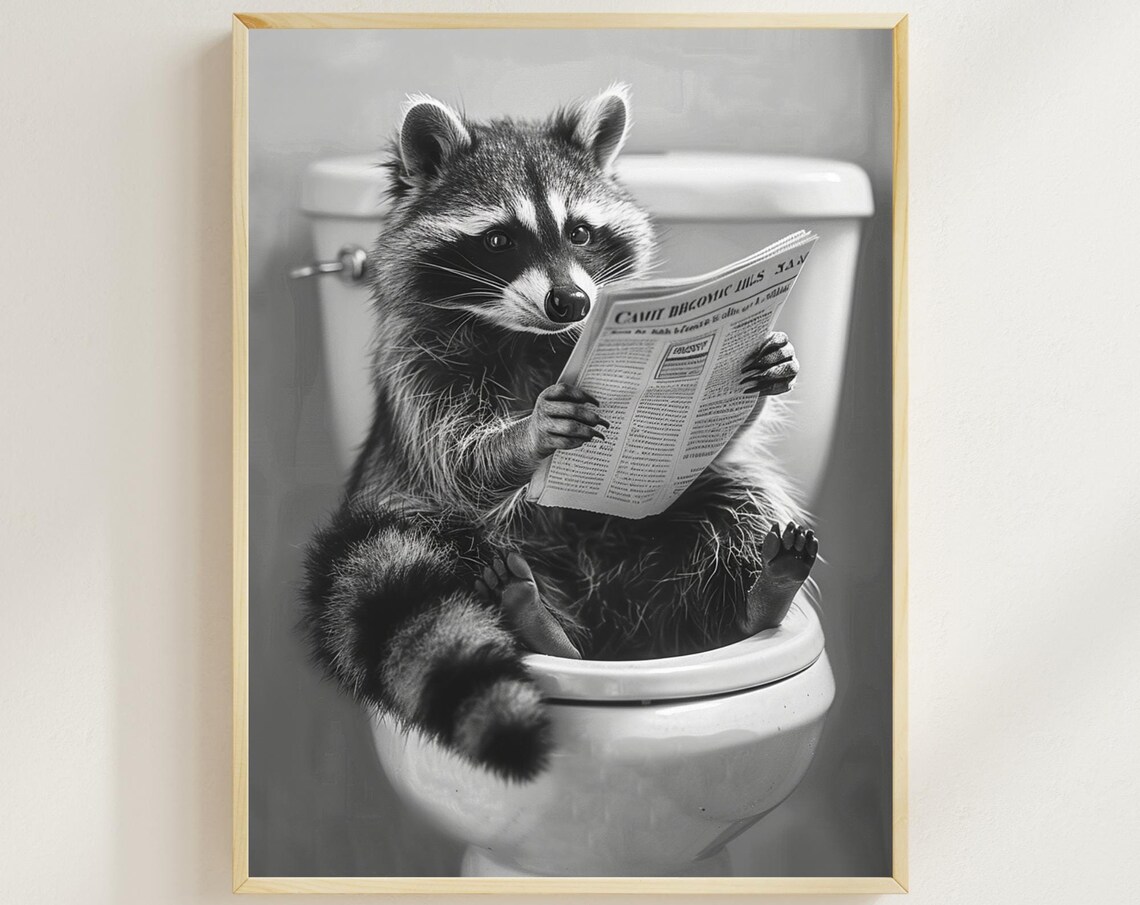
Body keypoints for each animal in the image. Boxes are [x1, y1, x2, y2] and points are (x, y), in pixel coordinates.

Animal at [300, 85, 819, 781]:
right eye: (499, 239)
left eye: (579, 231)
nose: (571, 302)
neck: (523, 335)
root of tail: (608, 629)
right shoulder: (416, 370)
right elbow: (455, 463)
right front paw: (525, 437)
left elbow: (724, 447)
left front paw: (765, 377)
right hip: (428, 529)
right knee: (437, 539)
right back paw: (536, 619)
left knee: (730, 494)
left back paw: (759, 597)